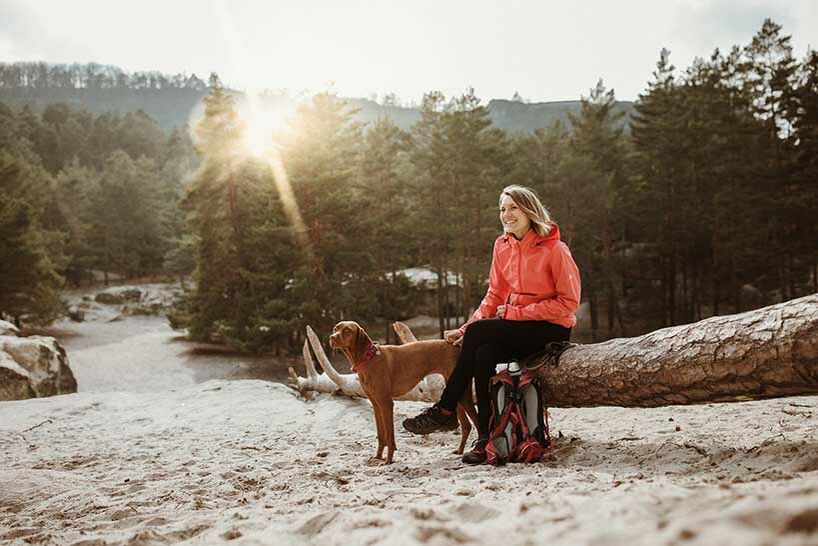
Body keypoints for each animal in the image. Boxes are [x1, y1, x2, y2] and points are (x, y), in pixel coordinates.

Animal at [326, 318, 474, 464]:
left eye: (347, 330)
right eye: (335, 328)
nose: (331, 338)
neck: (369, 358)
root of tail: (455, 346)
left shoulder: (386, 403)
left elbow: (389, 436)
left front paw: (388, 460)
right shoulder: (376, 405)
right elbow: (381, 435)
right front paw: (378, 456)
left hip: (464, 395)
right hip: (456, 391)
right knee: (466, 425)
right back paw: (460, 450)